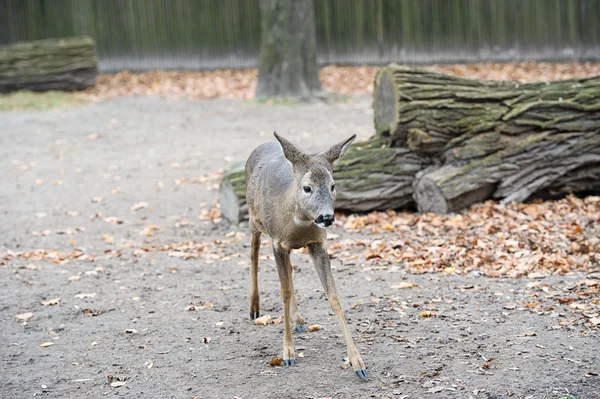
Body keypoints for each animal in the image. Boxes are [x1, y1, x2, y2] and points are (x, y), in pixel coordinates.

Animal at [243, 133, 366, 380]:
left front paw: (358, 363)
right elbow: (284, 293)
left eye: (333, 185)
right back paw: (254, 307)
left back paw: (298, 319)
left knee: (289, 270)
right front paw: (288, 353)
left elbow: (333, 296)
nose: (327, 217)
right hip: (254, 222)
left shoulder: (318, 243)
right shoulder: (278, 243)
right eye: (307, 187)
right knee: (253, 253)